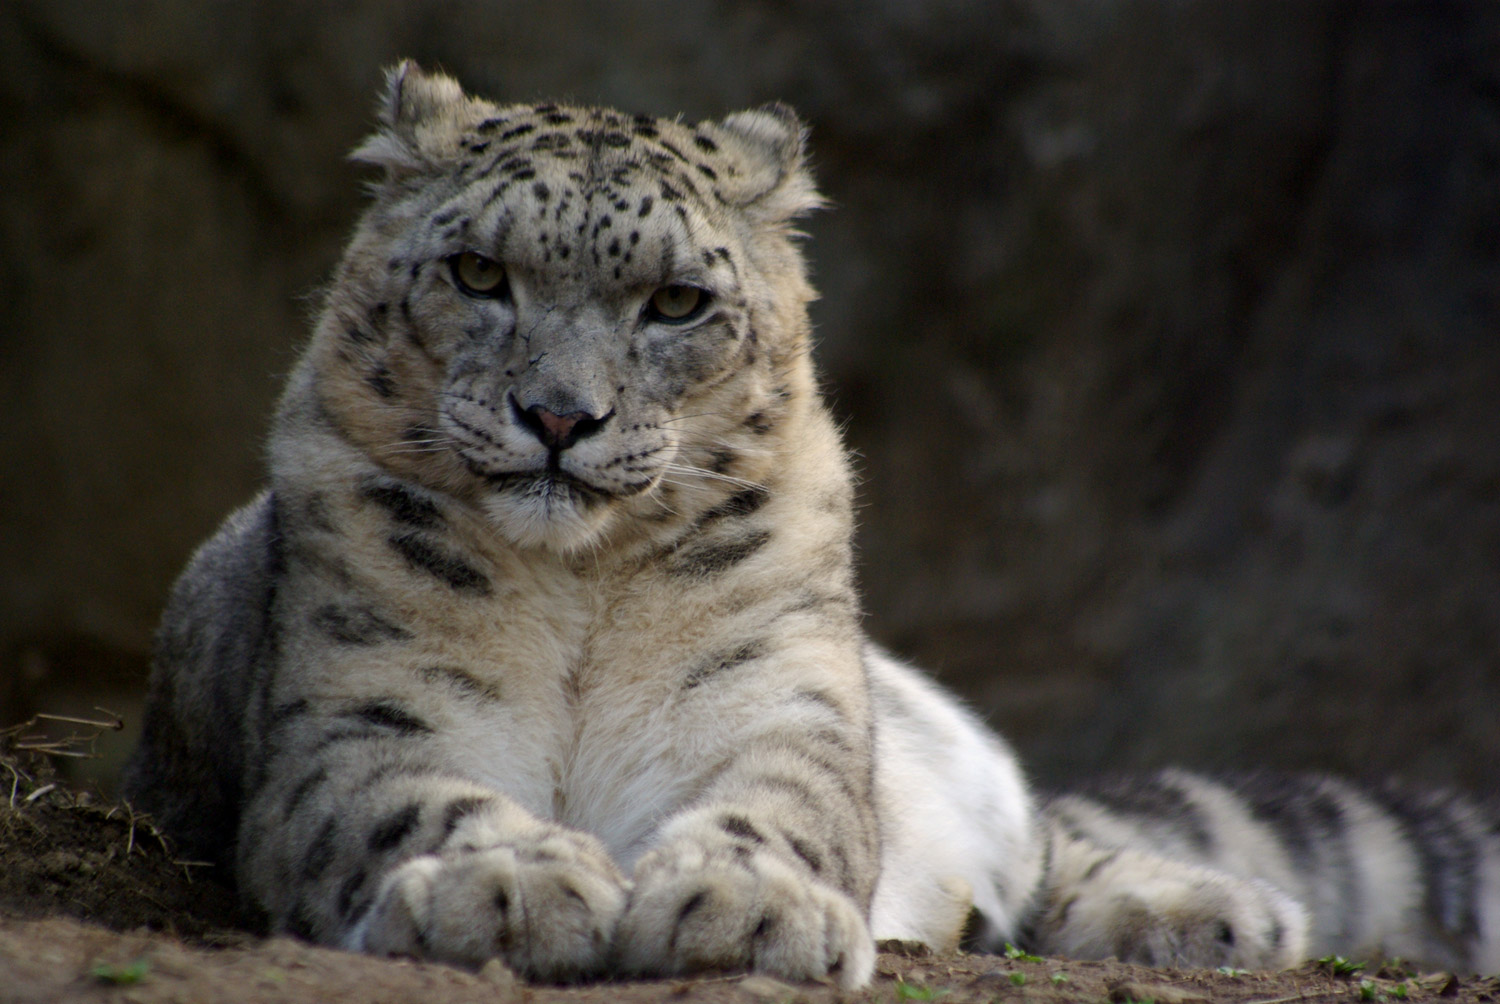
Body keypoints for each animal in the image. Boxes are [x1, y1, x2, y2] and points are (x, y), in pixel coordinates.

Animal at [120, 64, 1500, 984]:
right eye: (476, 273)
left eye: (677, 301)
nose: (558, 415)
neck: (578, 595)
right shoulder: (364, 710)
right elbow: (416, 797)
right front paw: (507, 882)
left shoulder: (776, 695)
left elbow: (781, 802)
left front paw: (742, 902)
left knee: (1058, 848)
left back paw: (1215, 912)